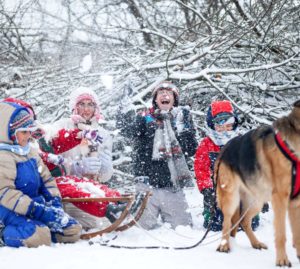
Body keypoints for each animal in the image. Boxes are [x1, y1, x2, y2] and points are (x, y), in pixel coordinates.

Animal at [213, 100, 300, 266]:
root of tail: (225, 148)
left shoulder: (295, 202)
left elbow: (297, 234)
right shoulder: (280, 199)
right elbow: (281, 234)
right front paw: (282, 260)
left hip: (256, 201)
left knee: (243, 221)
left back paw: (255, 243)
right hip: (231, 197)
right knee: (227, 222)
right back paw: (225, 245)